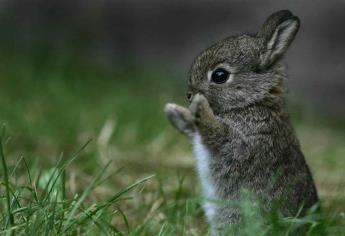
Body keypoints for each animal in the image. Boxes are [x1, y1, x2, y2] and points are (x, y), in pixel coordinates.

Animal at [164, 10, 318, 233]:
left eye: (220, 75)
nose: (189, 95)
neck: (253, 102)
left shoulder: (244, 141)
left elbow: (216, 133)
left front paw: (200, 106)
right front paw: (174, 111)